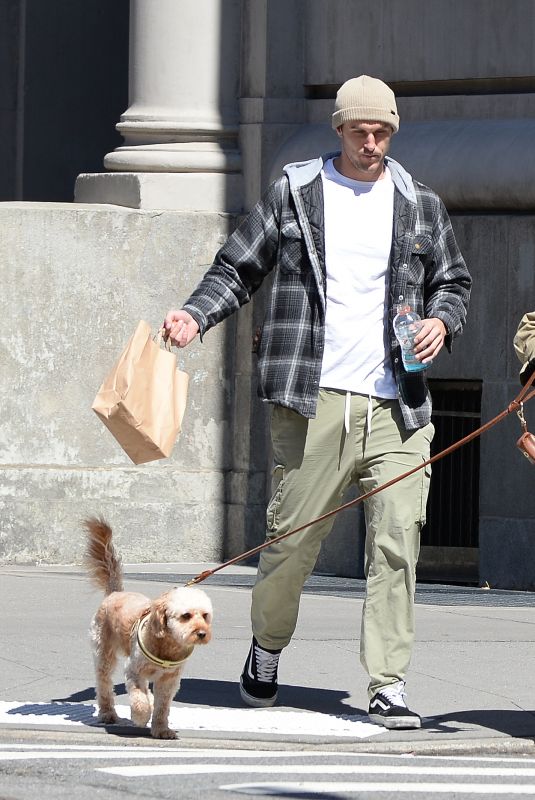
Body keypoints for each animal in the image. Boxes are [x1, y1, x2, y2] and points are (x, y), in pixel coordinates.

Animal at [82, 520, 213, 736]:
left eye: (205, 616)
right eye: (186, 616)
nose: (202, 634)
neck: (166, 645)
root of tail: (115, 593)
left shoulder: (169, 681)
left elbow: (162, 707)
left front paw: (161, 729)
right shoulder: (134, 671)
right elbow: (139, 699)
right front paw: (141, 717)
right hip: (104, 653)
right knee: (104, 684)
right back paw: (108, 713)